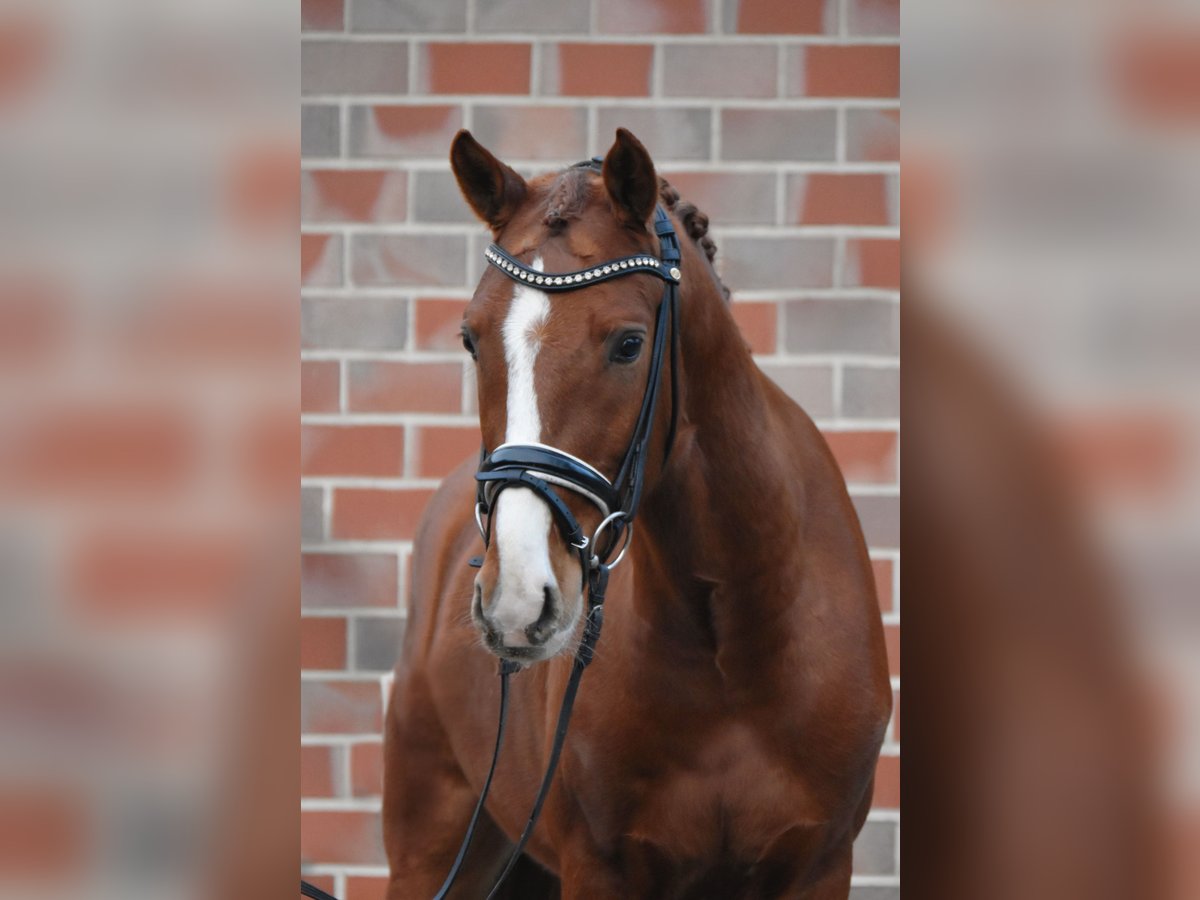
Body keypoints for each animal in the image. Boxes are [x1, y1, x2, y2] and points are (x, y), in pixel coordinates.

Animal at [384, 128, 892, 900]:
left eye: (629, 344)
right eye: (471, 338)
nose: (515, 601)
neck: (735, 635)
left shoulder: (820, 866)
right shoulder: (602, 868)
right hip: (432, 850)